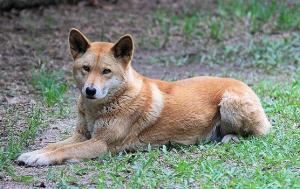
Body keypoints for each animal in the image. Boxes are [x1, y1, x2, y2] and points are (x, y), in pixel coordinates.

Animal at [17, 28, 272, 165]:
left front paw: (40, 159)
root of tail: (244, 85)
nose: (90, 91)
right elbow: (53, 145)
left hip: (230, 103)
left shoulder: (101, 144)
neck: (97, 108)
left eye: (106, 71)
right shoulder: (82, 135)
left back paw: (230, 138)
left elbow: (62, 151)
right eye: (86, 69)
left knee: (256, 133)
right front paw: (34, 153)